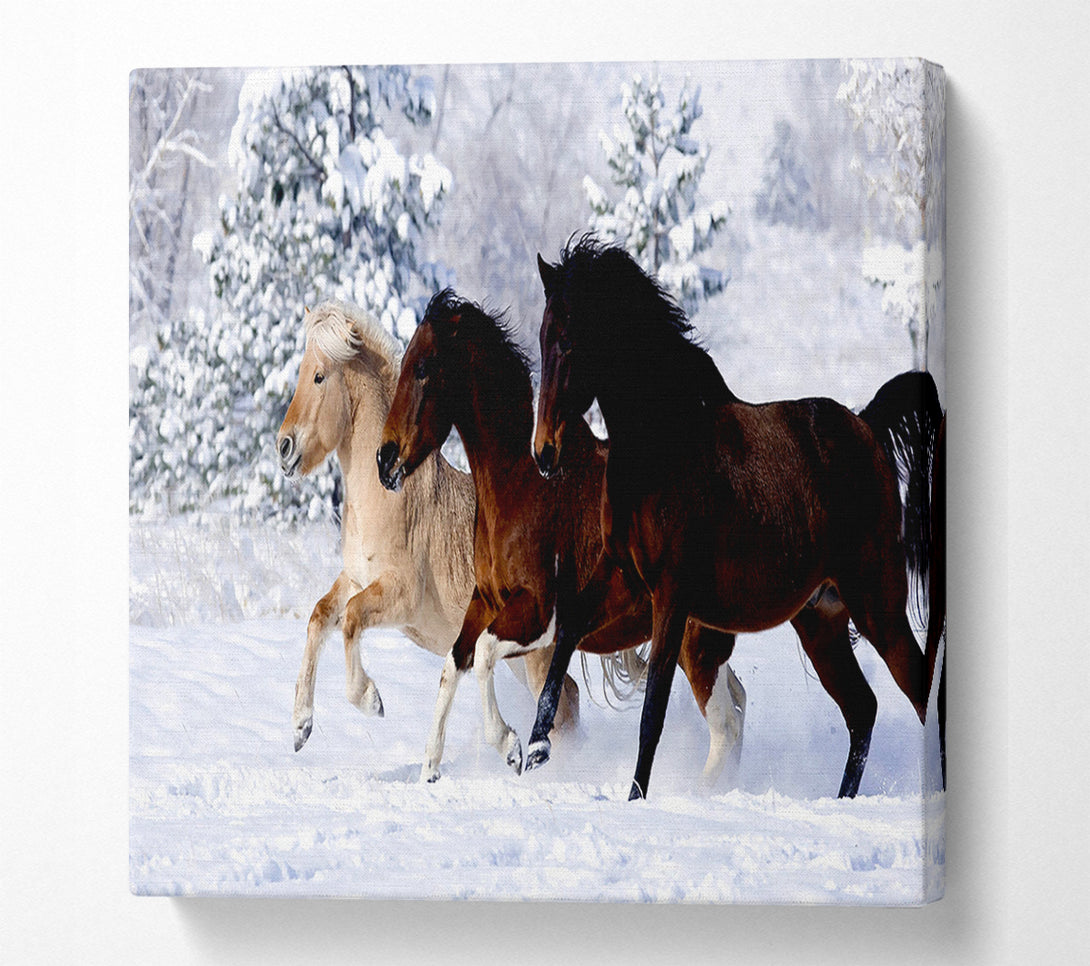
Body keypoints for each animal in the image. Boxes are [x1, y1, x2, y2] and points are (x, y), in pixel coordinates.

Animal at [275, 301, 578, 765]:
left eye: (319, 376)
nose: (284, 448)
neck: (386, 496)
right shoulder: (355, 579)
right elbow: (320, 617)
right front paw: (300, 726)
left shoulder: (399, 595)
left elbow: (351, 620)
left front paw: (371, 700)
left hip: (535, 654)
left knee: (565, 707)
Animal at [377, 289, 749, 789]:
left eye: (423, 367)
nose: (385, 460)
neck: (521, 483)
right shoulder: (486, 600)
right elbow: (454, 663)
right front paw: (430, 770)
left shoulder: (540, 614)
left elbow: (484, 655)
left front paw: (512, 747)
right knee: (737, 708)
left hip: (695, 645)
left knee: (725, 726)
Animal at [529, 236, 942, 800]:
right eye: (543, 336)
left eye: (570, 341)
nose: (544, 453)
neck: (662, 442)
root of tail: (868, 427)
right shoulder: (623, 575)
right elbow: (568, 630)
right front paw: (535, 748)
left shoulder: (671, 597)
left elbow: (652, 713)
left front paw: (634, 797)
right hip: (822, 620)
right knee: (863, 709)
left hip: (877, 602)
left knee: (918, 694)